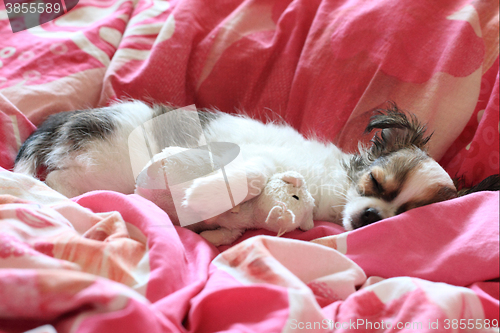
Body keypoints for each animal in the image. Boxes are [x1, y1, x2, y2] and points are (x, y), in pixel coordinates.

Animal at [13, 102, 474, 231]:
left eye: (406, 213)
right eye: (374, 181)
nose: (371, 216)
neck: (327, 187)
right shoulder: (254, 154)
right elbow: (252, 173)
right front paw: (201, 197)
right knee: (59, 181)